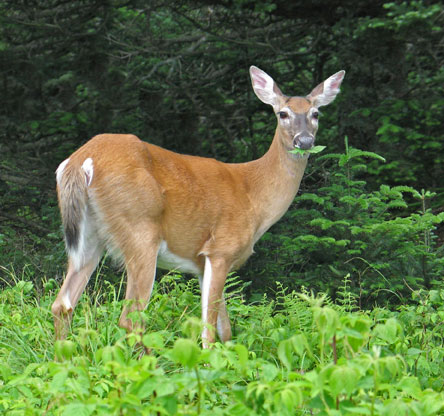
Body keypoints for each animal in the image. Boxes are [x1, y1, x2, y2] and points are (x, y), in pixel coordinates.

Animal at [51, 65, 344, 348]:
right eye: (283, 113)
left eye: (316, 113)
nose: (304, 141)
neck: (253, 196)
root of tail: (81, 161)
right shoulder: (221, 249)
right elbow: (209, 331)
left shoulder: (203, 262)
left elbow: (225, 330)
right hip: (139, 230)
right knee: (130, 319)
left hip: (89, 236)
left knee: (62, 304)